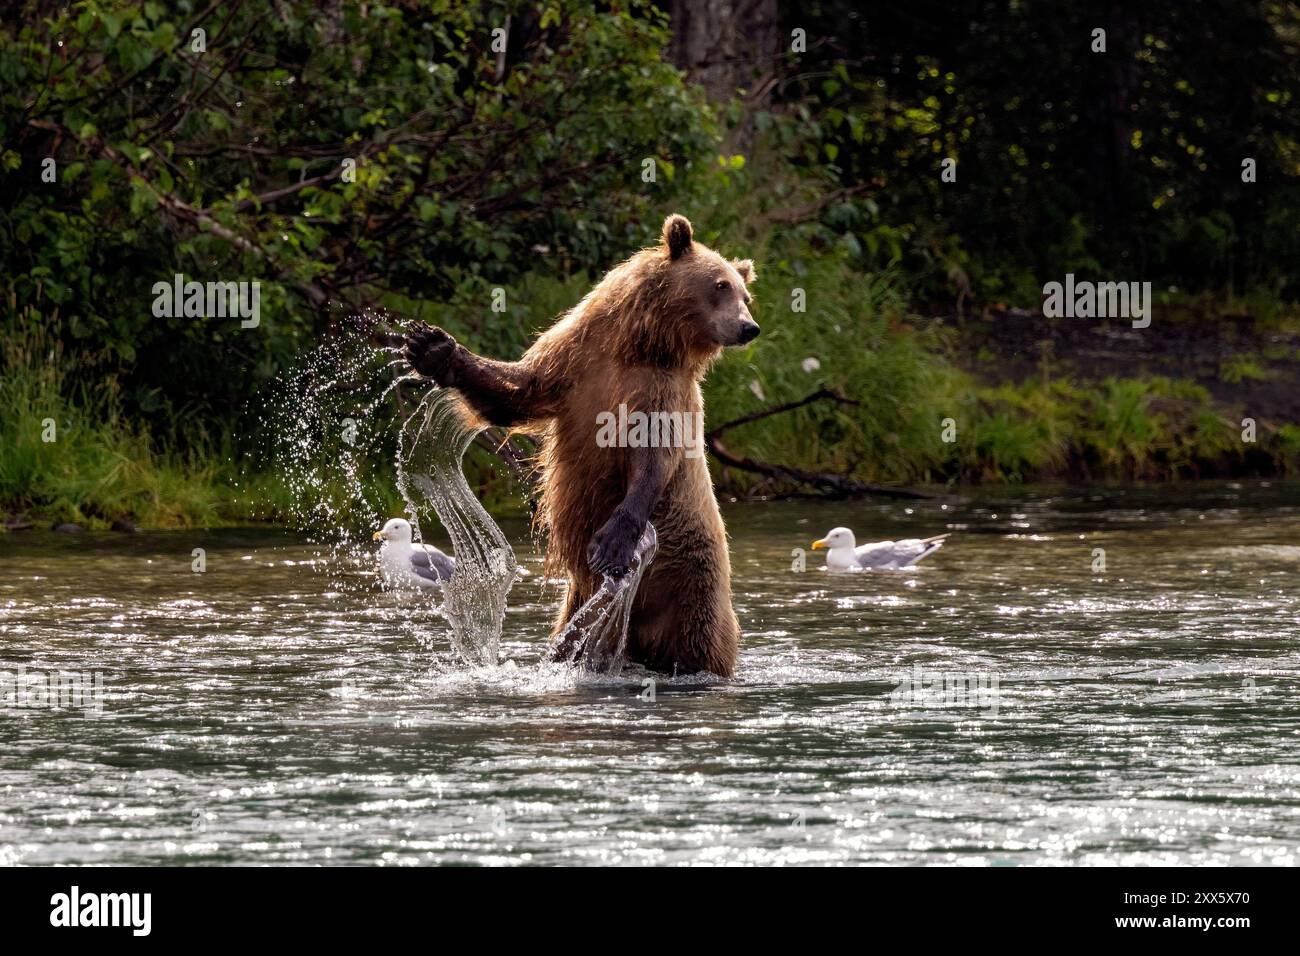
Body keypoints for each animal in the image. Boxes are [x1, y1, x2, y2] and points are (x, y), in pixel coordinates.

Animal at [400, 214, 759, 681]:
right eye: (721, 285)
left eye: (744, 294)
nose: (748, 326)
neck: (639, 344)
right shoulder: (574, 362)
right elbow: (518, 390)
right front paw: (433, 348)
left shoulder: (661, 392)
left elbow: (653, 458)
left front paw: (612, 541)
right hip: (578, 599)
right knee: (571, 634)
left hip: (693, 580)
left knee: (698, 640)